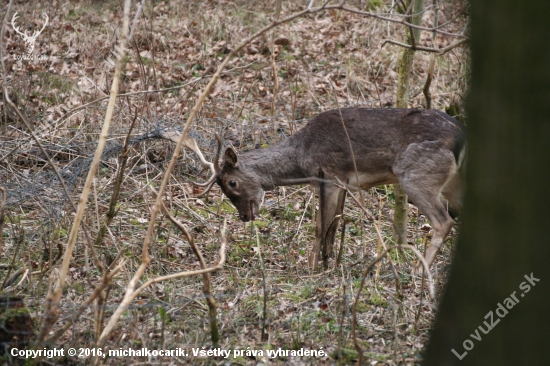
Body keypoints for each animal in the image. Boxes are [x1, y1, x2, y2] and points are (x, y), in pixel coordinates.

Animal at [194, 108, 466, 268]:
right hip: (451, 182)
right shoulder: (344, 182)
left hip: (415, 175)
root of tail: (460, 137)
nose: (244, 216)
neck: (302, 156)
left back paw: (421, 270)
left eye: (232, 183)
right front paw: (328, 264)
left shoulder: (330, 175)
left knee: (443, 220)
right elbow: (334, 224)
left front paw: (312, 267)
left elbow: (319, 226)